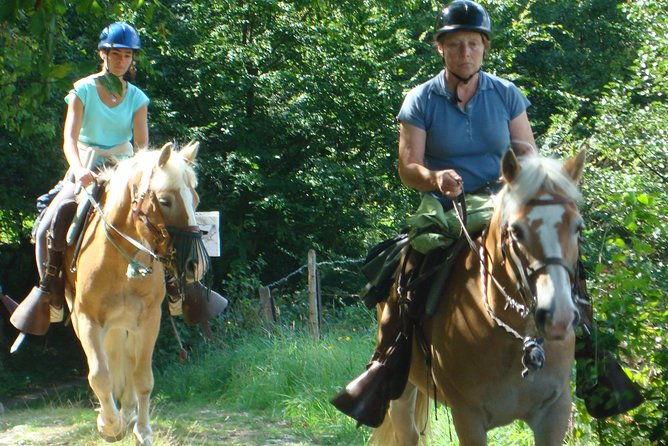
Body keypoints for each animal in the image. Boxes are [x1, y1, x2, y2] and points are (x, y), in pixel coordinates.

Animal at [63, 141, 206, 445]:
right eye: (165, 200)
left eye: (195, 199)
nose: (195, 265)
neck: (122, 261)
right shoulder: (87, 320)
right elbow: (100, 375)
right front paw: (109, 425)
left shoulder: (149, 321)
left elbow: (142, 377)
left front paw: (142, 430)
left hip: (127, 324)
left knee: (127, 362)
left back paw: (128, 412)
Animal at [372, 150, 586, 446]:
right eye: (516, 230)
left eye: (578, 227)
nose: (559, 317)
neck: (515, 338)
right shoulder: (468, 417)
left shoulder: (555, 412)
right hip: (401, 388)